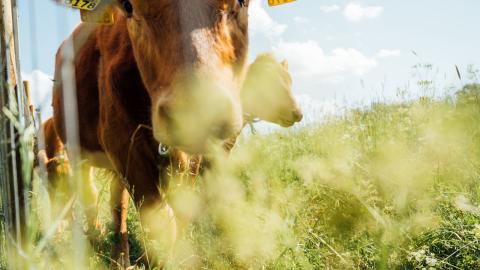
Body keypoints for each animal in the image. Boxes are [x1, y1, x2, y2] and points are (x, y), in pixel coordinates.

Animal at [48, 0, 251, 266]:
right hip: (77, 151)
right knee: (91, 196)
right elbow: (161, 220)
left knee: (117, 202)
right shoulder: (122, 143)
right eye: (128, 6)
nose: (197, 109)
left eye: (242, 2)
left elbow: (180, 213)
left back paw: (121, 258)